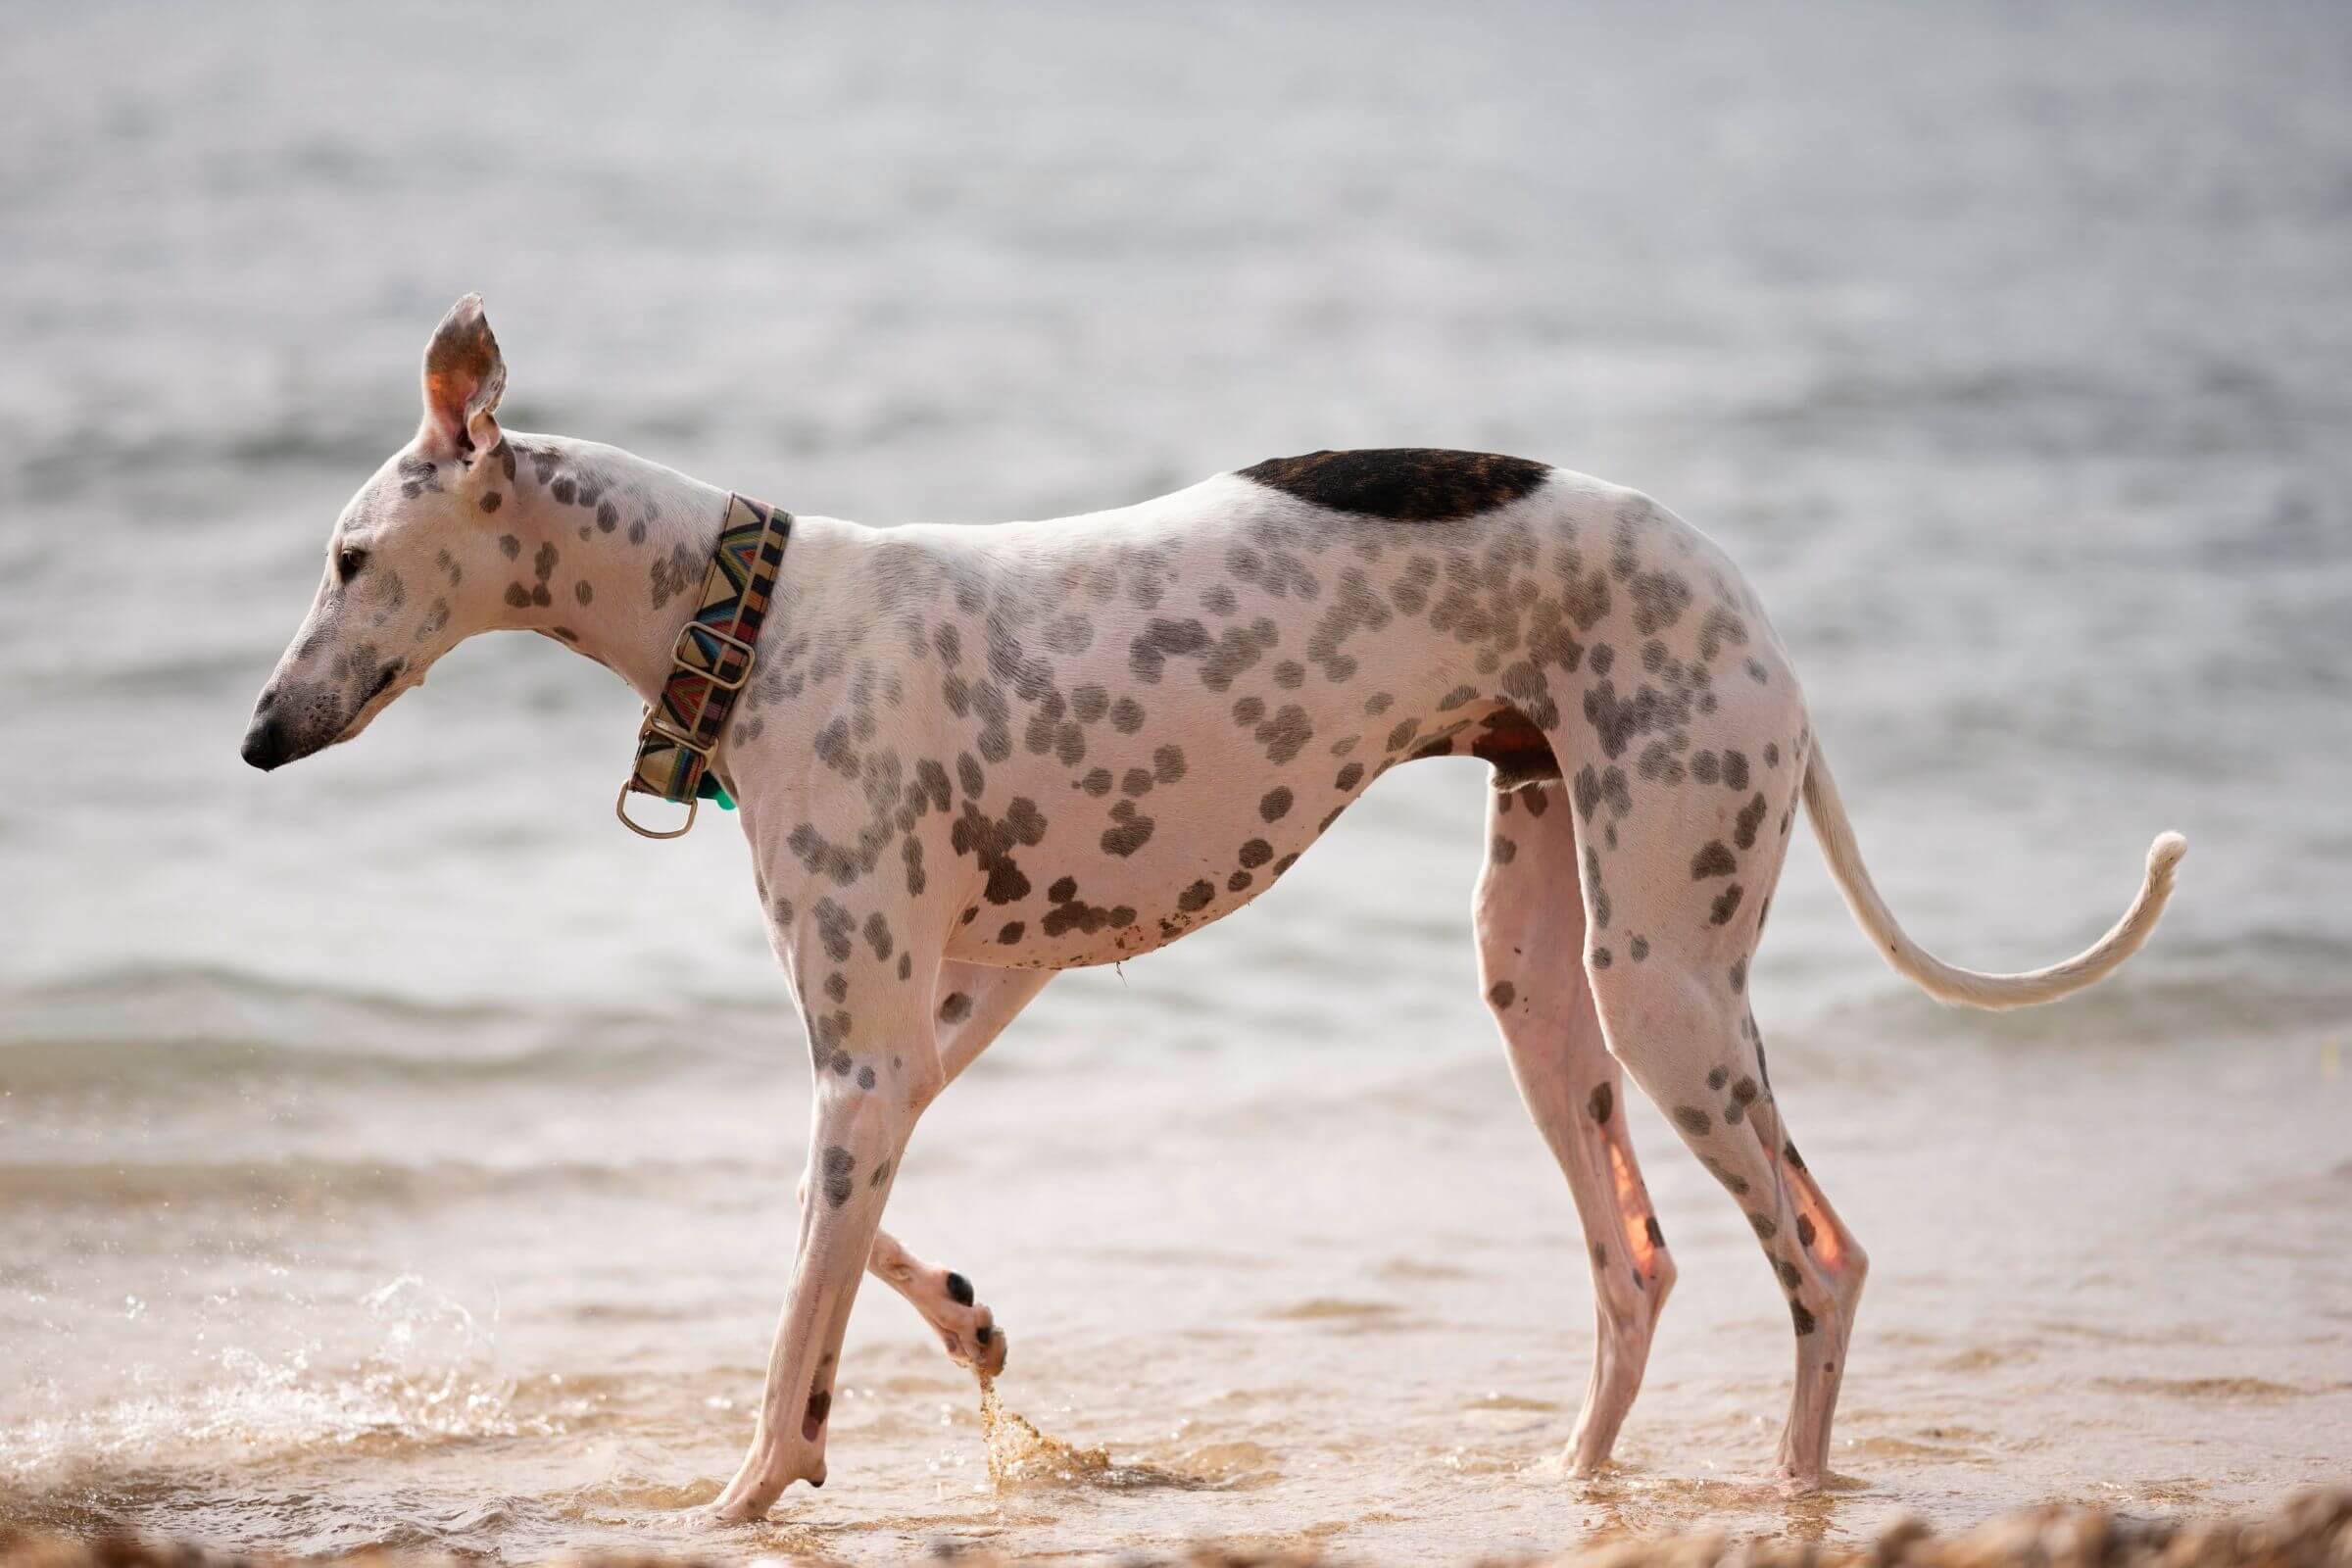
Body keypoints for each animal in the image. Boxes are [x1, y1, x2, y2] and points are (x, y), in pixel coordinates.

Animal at [243, 297, 2182, 1523]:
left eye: (347, 560)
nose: (258, 738)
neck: (759, 611)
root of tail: (1746, 599)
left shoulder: (870, 1052)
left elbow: (792, 1342)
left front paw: (743, 1491)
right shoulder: (936, 1022)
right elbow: (824, 1224)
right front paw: (967, 1318)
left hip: (1666, 976)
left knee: (1820, 1259)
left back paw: (1790, 1494)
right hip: (1541, 971)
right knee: (1636, 1260)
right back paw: (1572, 1483)